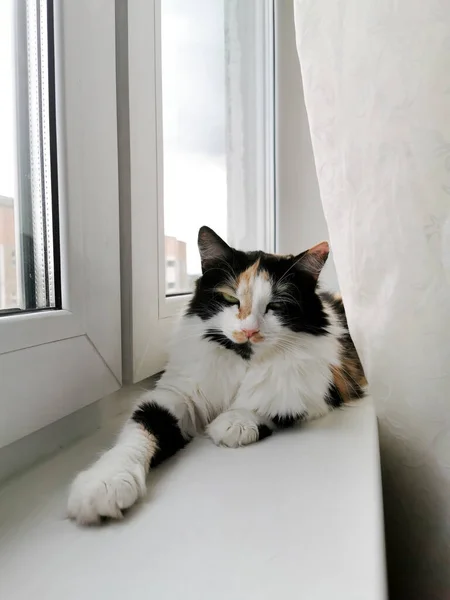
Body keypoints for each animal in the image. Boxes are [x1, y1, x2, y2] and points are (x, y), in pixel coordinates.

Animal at [68, 226, 368, 524]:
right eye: (230, 298)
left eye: (277, 305)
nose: (249, 331)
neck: (242, 362)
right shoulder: (175, 394)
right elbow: (140, 431)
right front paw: (104, 484)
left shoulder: (318, 391)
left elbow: (268, 406)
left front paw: (233, 423)